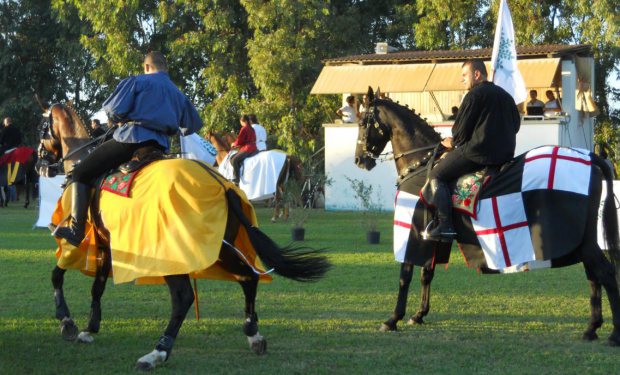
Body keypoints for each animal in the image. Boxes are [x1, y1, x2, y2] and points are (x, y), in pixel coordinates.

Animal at [37, 104, 330, 372]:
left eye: (42, 129)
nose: (41, 165)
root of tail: (222, 184)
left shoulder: (83, 244)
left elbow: (57, 274)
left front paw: (67, 321)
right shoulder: (105, 243)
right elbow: (97, 286)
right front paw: (89, 328)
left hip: (174, 255)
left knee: (183, 297)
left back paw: (158, 352)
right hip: (220, 248)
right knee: (248, 277)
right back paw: (253, 334)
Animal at [354, 86, 620, 346]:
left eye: (363, 121)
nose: (359, 160)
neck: (420, 164)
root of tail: (590, 159)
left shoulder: (413, 230)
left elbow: (406, 275)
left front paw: (392, 319)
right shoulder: (432, 238)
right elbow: (426, 273)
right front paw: (419, 315)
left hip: (582, 241)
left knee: (605, 273)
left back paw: (613, 335)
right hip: (583, 241)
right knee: (593, 276)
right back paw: (591, 329)